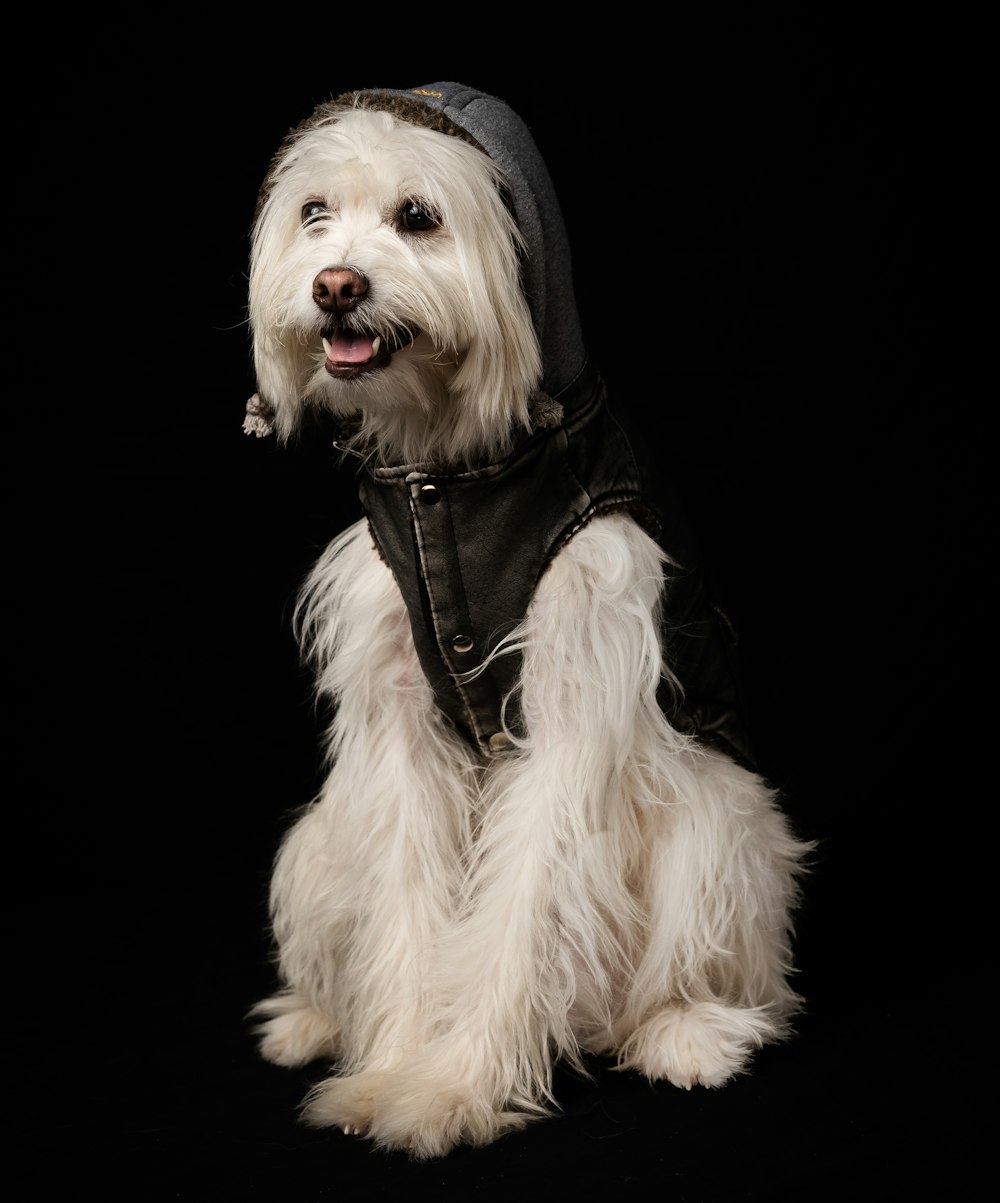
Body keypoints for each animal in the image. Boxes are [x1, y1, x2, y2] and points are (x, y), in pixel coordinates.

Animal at [244, 82, 813, 1154]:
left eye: (418, 215)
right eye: (314, 213)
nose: (335, 286)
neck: (453, 475)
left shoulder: (570, 717)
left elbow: (519, 915)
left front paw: (449, 1088)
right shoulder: (401, 735)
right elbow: (410, 911)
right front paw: (387, 1069)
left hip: (715, 820)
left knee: (715, 974)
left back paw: (687, 1032)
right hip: (316, 843)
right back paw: (311, 1020)